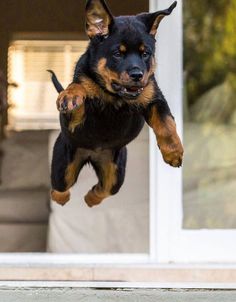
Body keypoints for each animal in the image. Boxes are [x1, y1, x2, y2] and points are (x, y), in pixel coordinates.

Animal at [49, 0, 183, 208]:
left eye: (146, 54)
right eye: (117, 54)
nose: (137, 75)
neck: (115, 96)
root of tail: (91, 155)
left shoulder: (154, 98)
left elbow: (166, 124)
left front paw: (174, 152)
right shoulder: (75, 119)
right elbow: (78, 90)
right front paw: (71, 95)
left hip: (116, 171)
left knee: (104, 189)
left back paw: (90, 198)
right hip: (63, 166)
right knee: (59, 189)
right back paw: (64, 198)